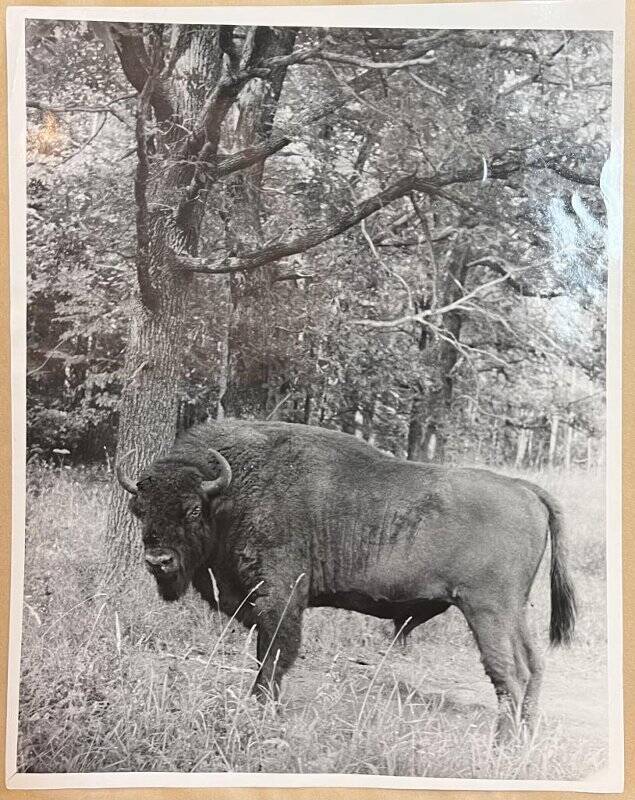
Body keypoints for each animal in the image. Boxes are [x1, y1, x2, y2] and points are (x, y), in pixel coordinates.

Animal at [118, 418, 576, 736]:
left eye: (193, 509)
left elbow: (273, 657)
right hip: (513, 611)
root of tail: (523, 489)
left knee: (510, 673)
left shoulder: (280, 597)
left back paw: (502, 744)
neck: (233, 494)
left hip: (488, 610)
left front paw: (262, 708)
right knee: (534, 665)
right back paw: (524, 738)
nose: (158, 560)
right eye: (140, 509)